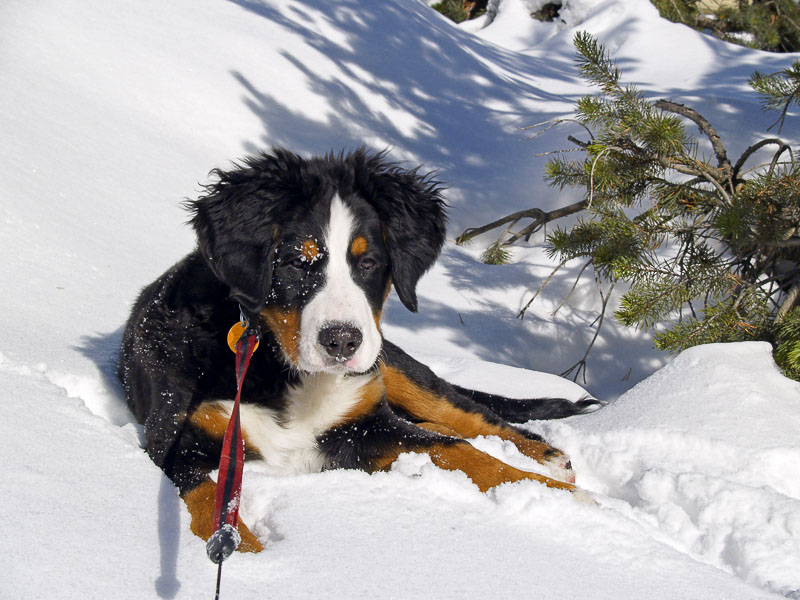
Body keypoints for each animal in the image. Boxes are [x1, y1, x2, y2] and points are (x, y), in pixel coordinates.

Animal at [115, 148, 596, 552]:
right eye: (296, 262)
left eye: (368, 263)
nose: (343, 341)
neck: (277, 364)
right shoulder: (177, 438)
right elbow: (210, 502)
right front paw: (253, 560)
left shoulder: (361, 424)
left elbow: (459, 449)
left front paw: (563, 499)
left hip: (392, 367)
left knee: (468, 414)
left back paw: (548, 458)